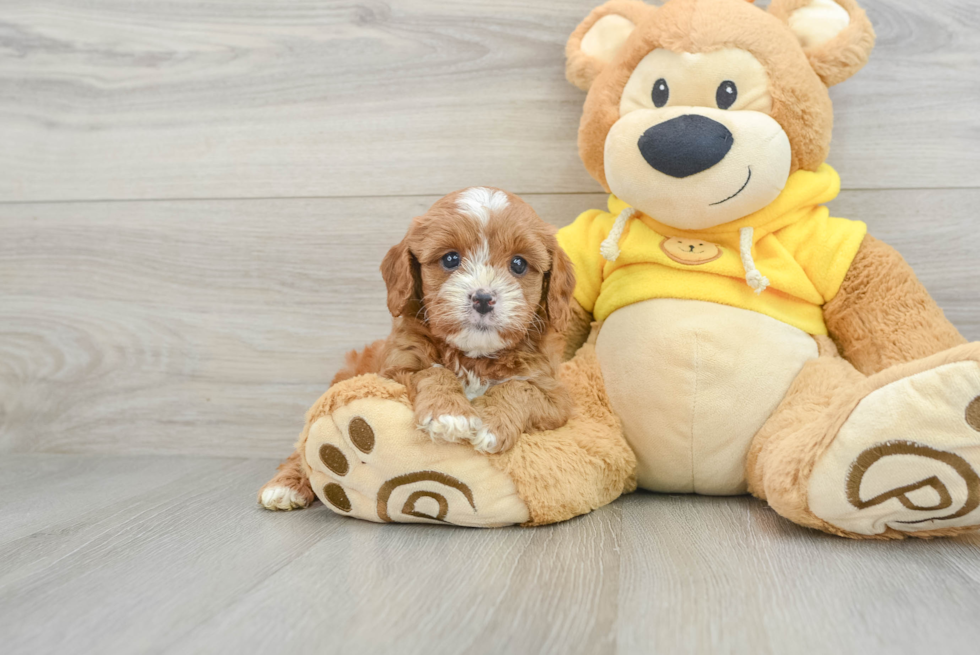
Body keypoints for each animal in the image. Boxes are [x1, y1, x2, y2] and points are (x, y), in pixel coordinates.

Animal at [260, 187, 580, 510]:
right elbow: (434, 372)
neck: (473, 356)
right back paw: (285, 486)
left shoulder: (555, 397)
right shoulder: (396, 368)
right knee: (302, 446)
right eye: (450, 259)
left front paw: (490, 425)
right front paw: (450, 415)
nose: (483, 298)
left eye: (518, 264)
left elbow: (518, 388)